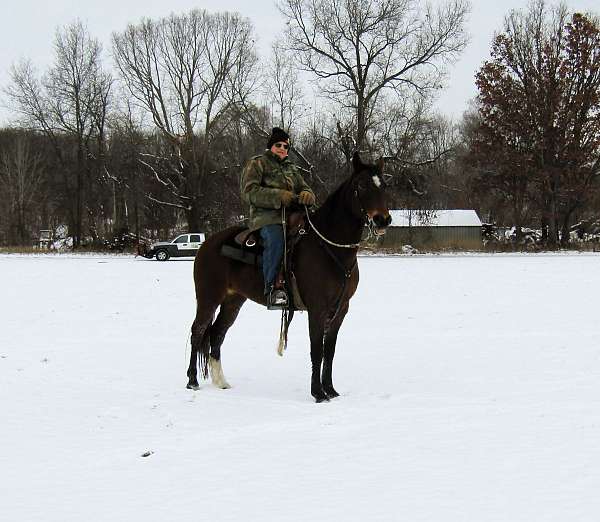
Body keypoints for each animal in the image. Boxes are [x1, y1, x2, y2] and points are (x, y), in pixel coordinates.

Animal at [189, 151, 394, 402]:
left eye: (384, 185)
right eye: (361, 185)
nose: (382, 220)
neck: (329, 247)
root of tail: (206, 244)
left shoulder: (340, 309)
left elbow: (330, 351)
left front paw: (331, 390)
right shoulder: (317, 308)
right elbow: (317, 351)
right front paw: (318, 393)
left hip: (233, 300)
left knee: (217, 333)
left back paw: (221, 382)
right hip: (208, 297)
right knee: (198, 331)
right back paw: (192, 381)